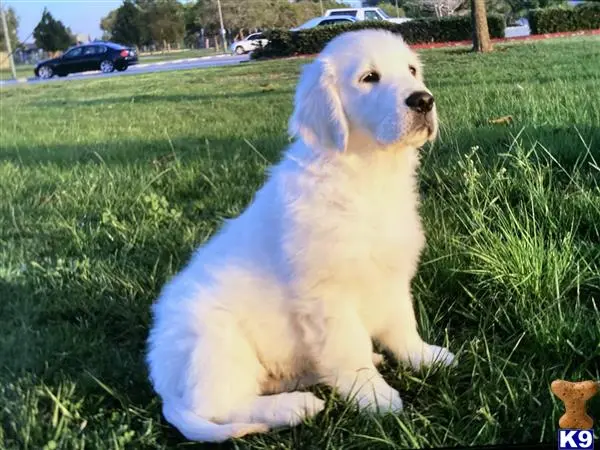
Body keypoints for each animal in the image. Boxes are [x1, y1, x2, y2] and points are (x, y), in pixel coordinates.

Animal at [146, 29, 454, 442]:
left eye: (412, 71)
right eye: (369, 78)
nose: (423, 100)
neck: (365, 176)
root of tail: (163, 384)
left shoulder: (392, 276)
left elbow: (402, 325)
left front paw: (423, 357)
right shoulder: (326, 297)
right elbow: (349, 349)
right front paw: (373, 396)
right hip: (217, 343)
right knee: (218, 407)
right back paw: (296, 406)